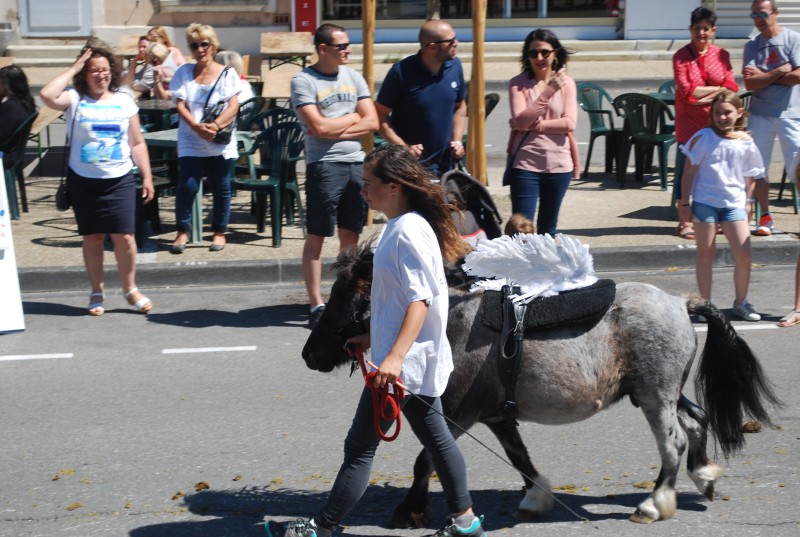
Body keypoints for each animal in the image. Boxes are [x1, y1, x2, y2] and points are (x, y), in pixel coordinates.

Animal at [302, 244, 780, 528]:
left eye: (350, 298)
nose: (310, 354)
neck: (450, 322)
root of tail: (681, 303)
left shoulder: (458, 414)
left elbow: (427, 460)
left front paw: (410, 509)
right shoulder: (496, 417)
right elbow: (520, 457)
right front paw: (537, 496)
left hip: (654, 396)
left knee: (674, 442)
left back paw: (654, 501)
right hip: (661, 392)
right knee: (696, 421)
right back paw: (704, 476)